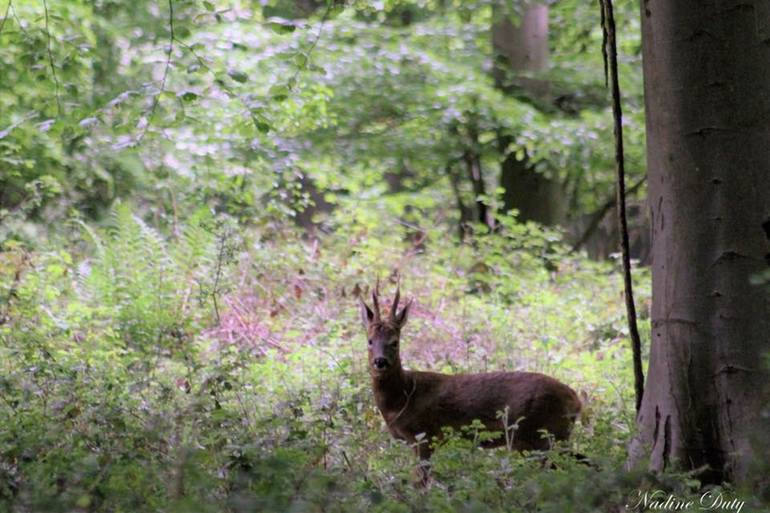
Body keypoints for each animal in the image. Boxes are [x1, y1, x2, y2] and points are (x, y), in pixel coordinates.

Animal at [360, 282, 584, 482]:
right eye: (369, 341)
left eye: (394, 342)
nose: (380, 361)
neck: (404, 396)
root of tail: (576, 401)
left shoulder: (424, 435)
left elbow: (420, 482)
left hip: (541, 434)